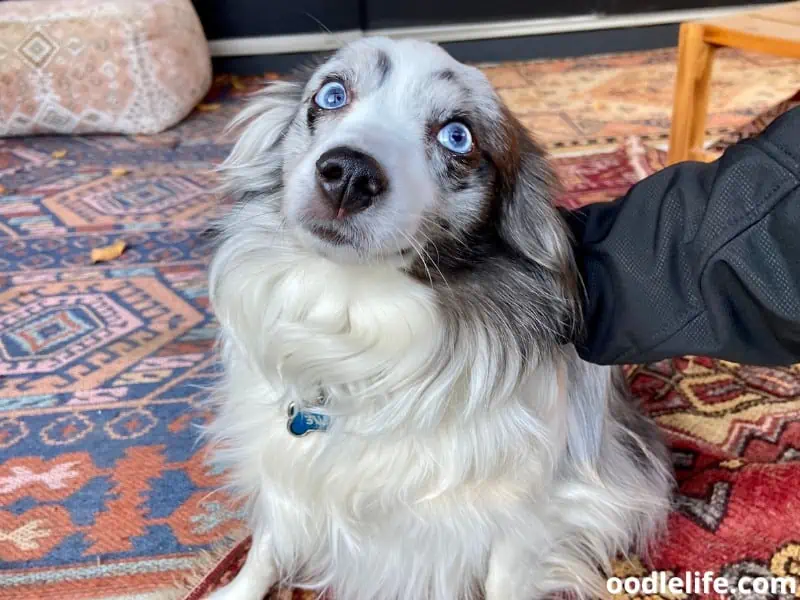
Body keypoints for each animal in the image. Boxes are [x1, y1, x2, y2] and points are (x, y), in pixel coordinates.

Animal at [203, 37, 672, 600]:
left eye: (457, 135)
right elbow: (268, 543)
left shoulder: (527, 510)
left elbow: (504, 579)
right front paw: (237, 590)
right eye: (332, 94)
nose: (350, 174)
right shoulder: (285, 464)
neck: (354, 318)